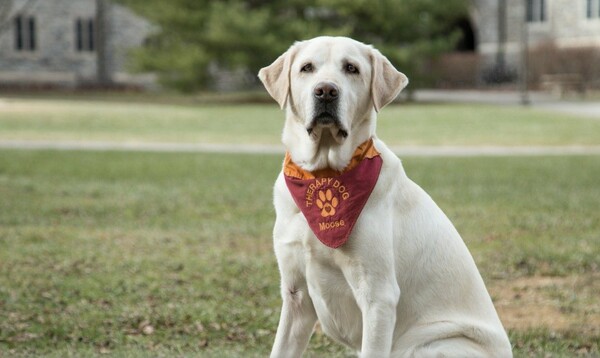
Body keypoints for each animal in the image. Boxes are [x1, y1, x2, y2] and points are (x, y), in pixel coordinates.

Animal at [258, 37, 510, 358]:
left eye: (351, 68)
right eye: (307, 68)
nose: (326, 91)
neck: (324, 173)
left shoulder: (378, 296)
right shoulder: (296, 294)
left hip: (431, 345)